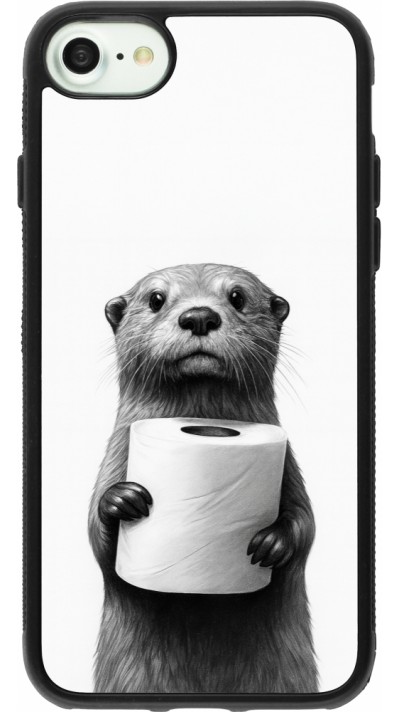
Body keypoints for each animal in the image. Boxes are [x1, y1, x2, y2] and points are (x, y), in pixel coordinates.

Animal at [88, 263, 317, 694]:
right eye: (156, 299)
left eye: (237, 297)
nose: (198, 316)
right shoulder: (115, 456)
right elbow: (96, 538)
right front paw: (121, 500)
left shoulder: (290, 467)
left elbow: (306, 524)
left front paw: (273, 543)